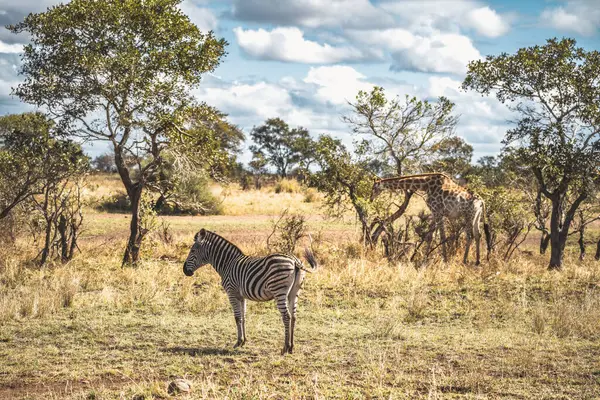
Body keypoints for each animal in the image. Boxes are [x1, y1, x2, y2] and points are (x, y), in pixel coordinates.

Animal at [183, 227, 318, 354]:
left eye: (192, 251)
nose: (184, 270)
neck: (227, 264)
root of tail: (295, 261)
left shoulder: (231, 293)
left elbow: (237, 317)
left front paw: (238, 342)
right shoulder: (241, 296)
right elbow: (243, 316)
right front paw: (244, 341)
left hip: (279, 291)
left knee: (286, 316)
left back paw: (285, 347)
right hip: (294, 292)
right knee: (294, 317)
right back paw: (291, 347)